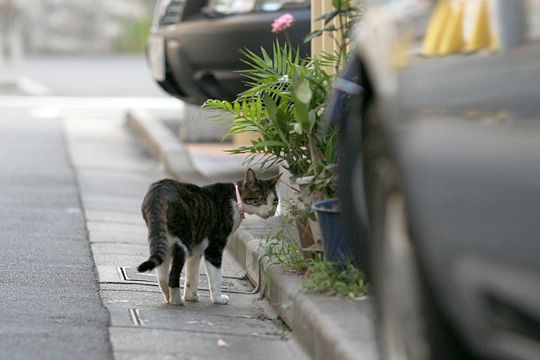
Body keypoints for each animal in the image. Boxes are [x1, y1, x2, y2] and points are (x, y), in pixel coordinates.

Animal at [137, 170, 280, 306]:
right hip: (183, 239)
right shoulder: (215, 246)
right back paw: (176, 300)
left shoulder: (197, 247)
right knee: (173, 273)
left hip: (165, 237)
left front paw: (191, 296)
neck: (235, 199)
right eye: (261, 199)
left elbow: (192, 274)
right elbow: (216, 276)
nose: (271, 211)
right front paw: (218, 299)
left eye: (275, 201)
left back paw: (168, 297)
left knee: (162, 273)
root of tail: (158, 191)